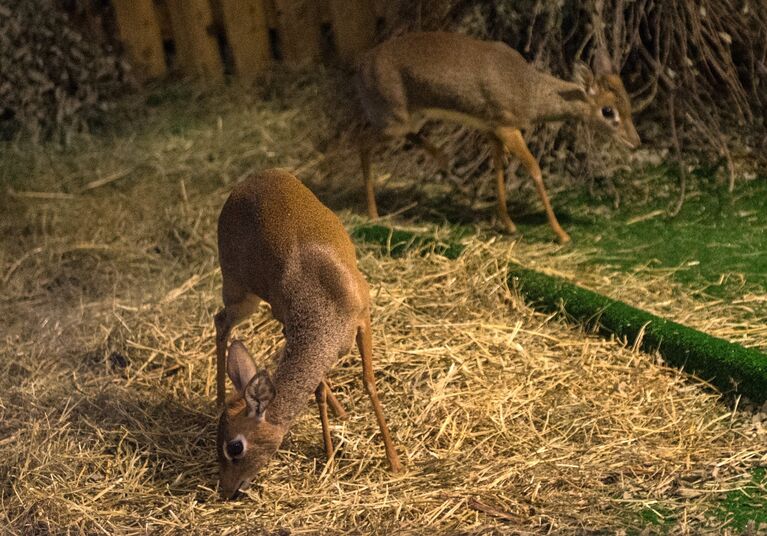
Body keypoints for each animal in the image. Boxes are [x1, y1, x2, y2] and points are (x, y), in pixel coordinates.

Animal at [212, 170, 400, 500]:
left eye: (235, 447)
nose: (226, 490)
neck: (323, 295)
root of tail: (250, 179)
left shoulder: (363, 319)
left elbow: (368, 382)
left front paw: (394, 462)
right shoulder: (292, 325)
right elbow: (319, 391)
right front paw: (329, 458)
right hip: (240, 293)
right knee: (221, 321)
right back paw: (220, 398)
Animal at [356, 31, 640, 243]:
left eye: (627, 101)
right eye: (607, 110)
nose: (635, 142)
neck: (529, 91)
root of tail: (363, 63)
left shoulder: (493, 130)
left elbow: (498, 170)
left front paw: (508, 224)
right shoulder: (507, 128)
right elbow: (534, 169)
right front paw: (561, 234)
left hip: (411, 120)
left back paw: (443, 160)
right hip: (393, 122)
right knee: (361, 143)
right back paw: (373, 214)